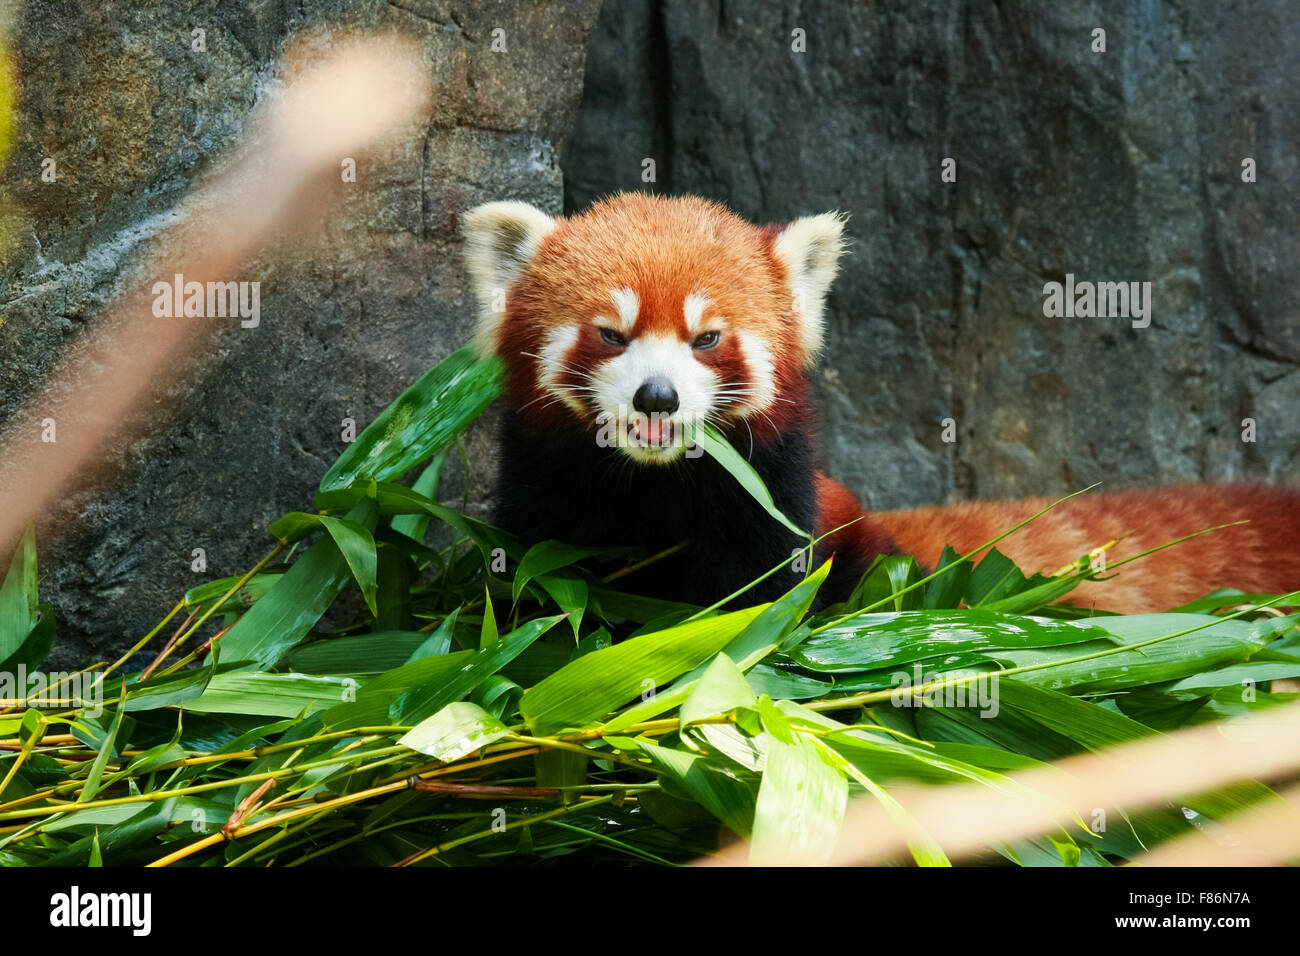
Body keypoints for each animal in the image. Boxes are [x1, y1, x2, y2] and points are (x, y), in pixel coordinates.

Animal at [462, 193, 1294, 613]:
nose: (657, 397)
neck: (654, 487)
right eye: (611, 333)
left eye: (707, 338)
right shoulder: (543, 502)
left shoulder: (773, 509)